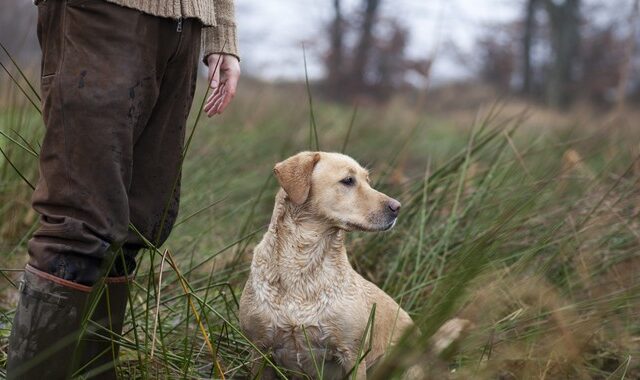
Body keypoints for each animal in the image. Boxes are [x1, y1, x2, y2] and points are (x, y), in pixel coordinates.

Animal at [240, 151, 464, 378]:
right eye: (348, 180)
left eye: (368, 180)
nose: (397, 207)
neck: (303, 263)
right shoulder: (259, 351)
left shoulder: (353, 354)